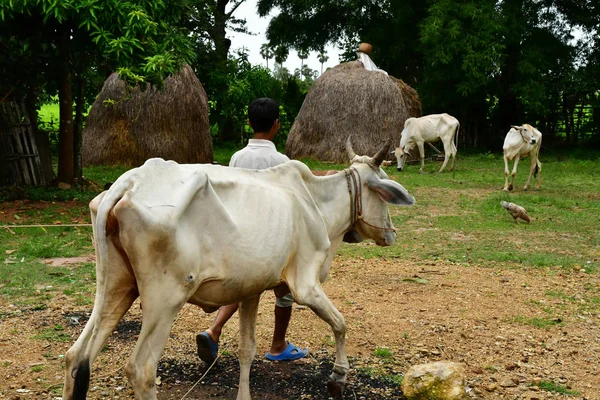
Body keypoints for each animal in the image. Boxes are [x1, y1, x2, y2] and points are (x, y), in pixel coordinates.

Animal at [63, 138, 414, 400]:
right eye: (383, 195)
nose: (391, 234)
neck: (316, 202)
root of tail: (128, 183)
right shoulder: (305, 284)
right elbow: (340, 324)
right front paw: (338, 377)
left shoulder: (251, 289)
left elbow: (247, 349)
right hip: (164, 299)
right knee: (141, 371)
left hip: (116, 286)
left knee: (76, 356)